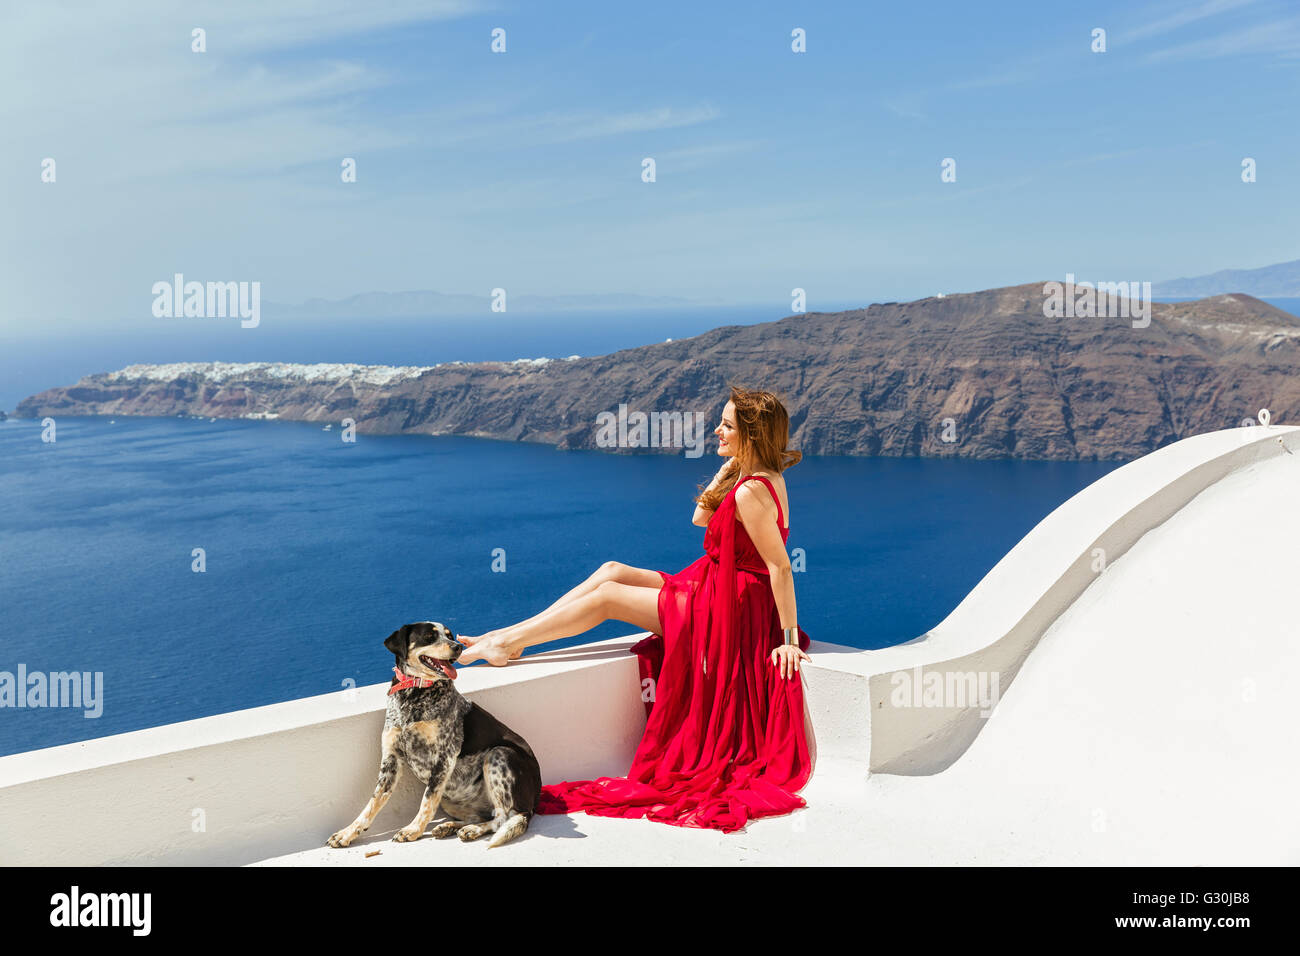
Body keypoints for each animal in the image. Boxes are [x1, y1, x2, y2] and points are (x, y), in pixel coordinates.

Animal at [330, 621, 548, 853]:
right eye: (429, 636)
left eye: (450, 636)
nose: (458, 647)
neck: (415, 693)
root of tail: (533, 802)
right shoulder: (391, 759)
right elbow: (372, 803)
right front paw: (347, 833)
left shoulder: (444, 757)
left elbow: (427, 800)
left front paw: (413, 830)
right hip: (450, 800)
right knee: (482, 816)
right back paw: (450, 826)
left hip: (500, 754)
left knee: (503, 818)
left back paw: (472, 830)